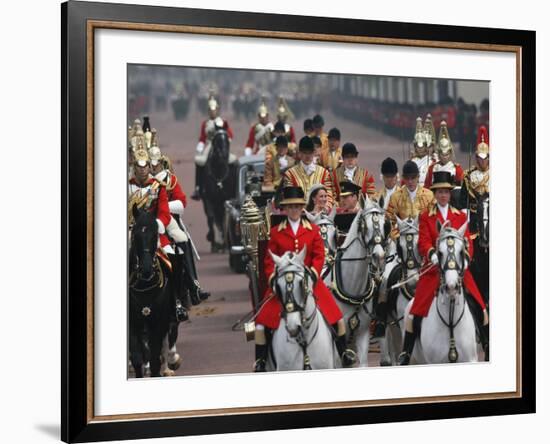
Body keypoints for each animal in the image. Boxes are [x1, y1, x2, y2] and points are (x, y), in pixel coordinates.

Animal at [129, 206, 174, 376]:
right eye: (135, 235)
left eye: (155, 234)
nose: (147, 269)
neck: (144, 286)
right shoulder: (132, 324)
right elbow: (137, 358)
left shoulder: (159, 323)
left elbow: (155, 360)